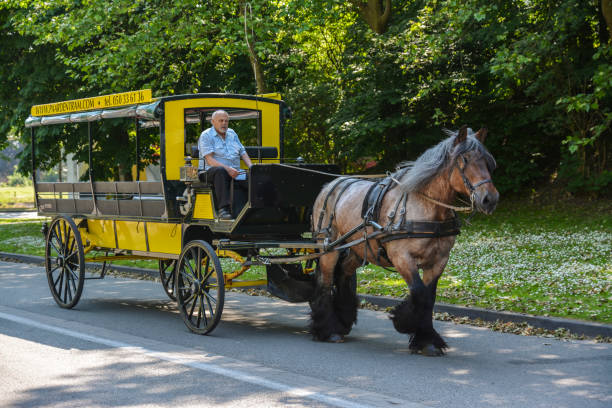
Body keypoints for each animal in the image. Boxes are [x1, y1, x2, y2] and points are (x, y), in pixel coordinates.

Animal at [310, 126, 498, 356]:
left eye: (487, 161)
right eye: (464, 159)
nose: (490, 199)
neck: (427, 207)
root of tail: (331, 184)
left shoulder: (439, 261)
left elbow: (429, 297)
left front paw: (426, 340)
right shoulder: (402, 258)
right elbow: (419, 293)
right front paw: (405, 322)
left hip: (357, 248)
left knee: (343, 275)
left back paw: (342, 321)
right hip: (329, 247)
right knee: (325, 281)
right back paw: (327, 330)